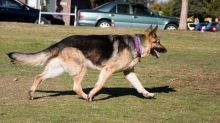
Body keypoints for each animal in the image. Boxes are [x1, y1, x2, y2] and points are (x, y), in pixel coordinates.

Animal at [7, 26, 167, 101]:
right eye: (158, 42)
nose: (166, 50)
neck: (136, 44)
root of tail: (61, 42)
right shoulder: (107, 70)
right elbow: (99, 85)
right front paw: (91, 94)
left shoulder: (129, 72)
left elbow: (139, 85)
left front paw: (147, 94)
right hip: (81, 68)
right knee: (76, 87)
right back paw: (85, 96)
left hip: (57, 70)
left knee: (38, 76)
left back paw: (31, 93)